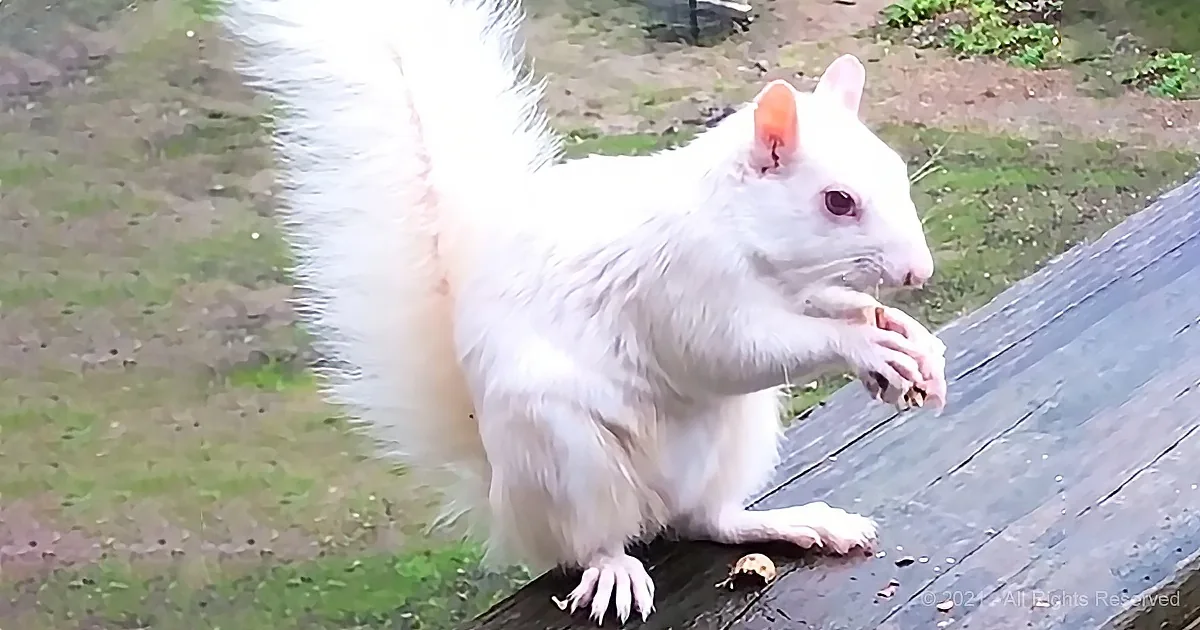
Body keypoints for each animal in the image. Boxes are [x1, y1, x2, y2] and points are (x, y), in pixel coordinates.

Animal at [222, 0, 949, 624]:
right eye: (837, 202)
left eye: (895, 168)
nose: (919, 272)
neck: (739, 229)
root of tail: (505, 499)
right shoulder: (683, 288)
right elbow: (733, 349)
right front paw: (866, 346)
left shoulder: (798, 289)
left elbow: (833, 306)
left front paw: (907, 336)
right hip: (565, 454)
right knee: (592, 540)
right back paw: (613, 570)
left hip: (736, 438)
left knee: (707, 520)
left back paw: (798, 522)